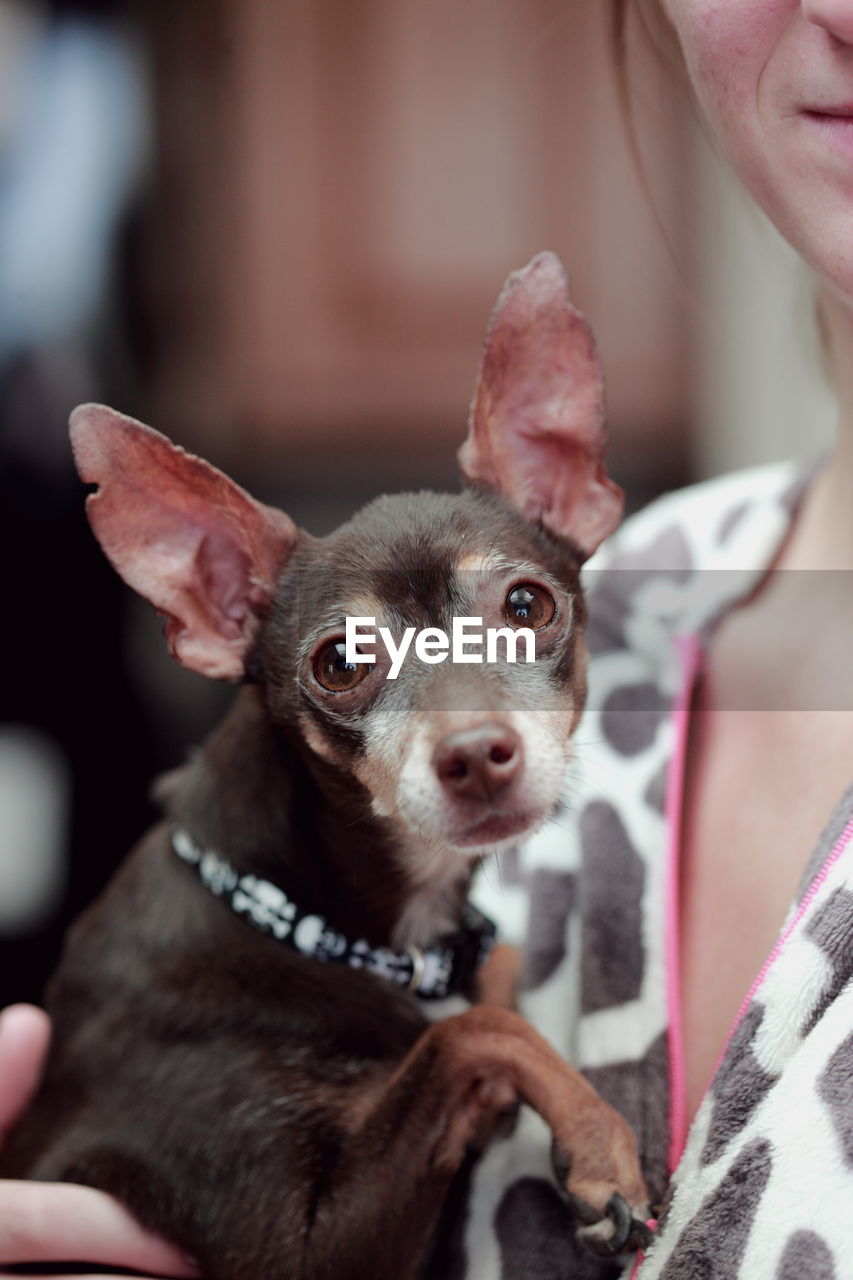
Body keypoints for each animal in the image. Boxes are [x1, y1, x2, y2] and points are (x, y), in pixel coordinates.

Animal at [0, 254, 648, 1280]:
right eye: (340, 664)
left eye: (526, 606)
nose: (476, 756)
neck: (300, 916)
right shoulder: (301, 1249)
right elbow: (475, 1032)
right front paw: (598, 1145)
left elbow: (483, 993)